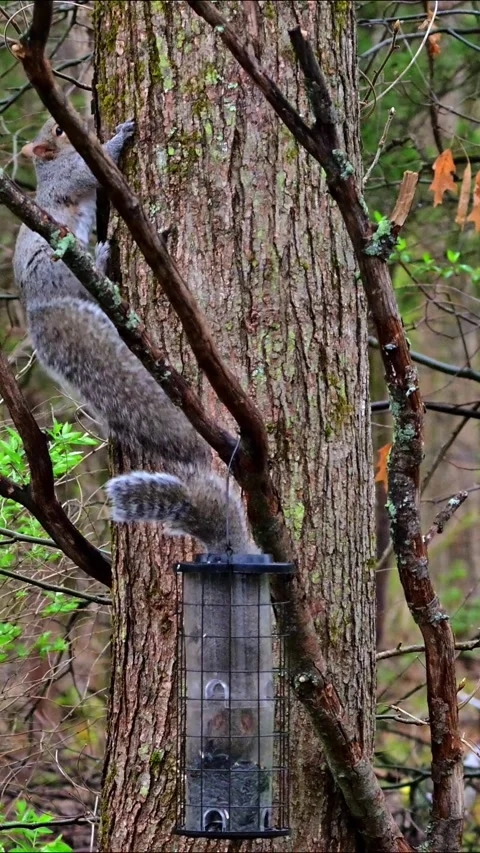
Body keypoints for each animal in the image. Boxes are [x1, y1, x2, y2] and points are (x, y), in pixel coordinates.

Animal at [13, 117, 253, 554]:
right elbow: (91, 169)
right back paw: (103, 258)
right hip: (62, 265)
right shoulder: (71, 174)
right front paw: (120, 136)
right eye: (59, 130)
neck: (48, 168)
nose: (77, 122)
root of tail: (39, 308)